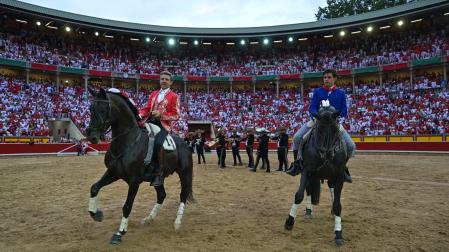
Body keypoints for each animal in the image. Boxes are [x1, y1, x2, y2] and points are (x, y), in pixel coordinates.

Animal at [86, 88, 192, 244]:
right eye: (90, 108)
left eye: (104, 108)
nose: (91, 136)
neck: (127, 141)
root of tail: (185, 142)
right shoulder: (113, 172)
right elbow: (94, 187)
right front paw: (96, 214)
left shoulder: (134, 180)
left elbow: (127, 206)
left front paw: (119, 233)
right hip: (157, 179)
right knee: (161, 195)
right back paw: (148, 219)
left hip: (185, 173)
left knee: (183, 195)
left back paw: (177, 223)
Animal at [284, 105, 350, 245]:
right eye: (319, 129)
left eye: (335, 129)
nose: (327, 154)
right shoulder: (307, 170)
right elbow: (299, 195)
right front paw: (289, 222)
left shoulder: (339, 176)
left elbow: (338, 205)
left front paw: (338, 234)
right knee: (309, 190)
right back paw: (308, 212)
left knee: (331, 190)